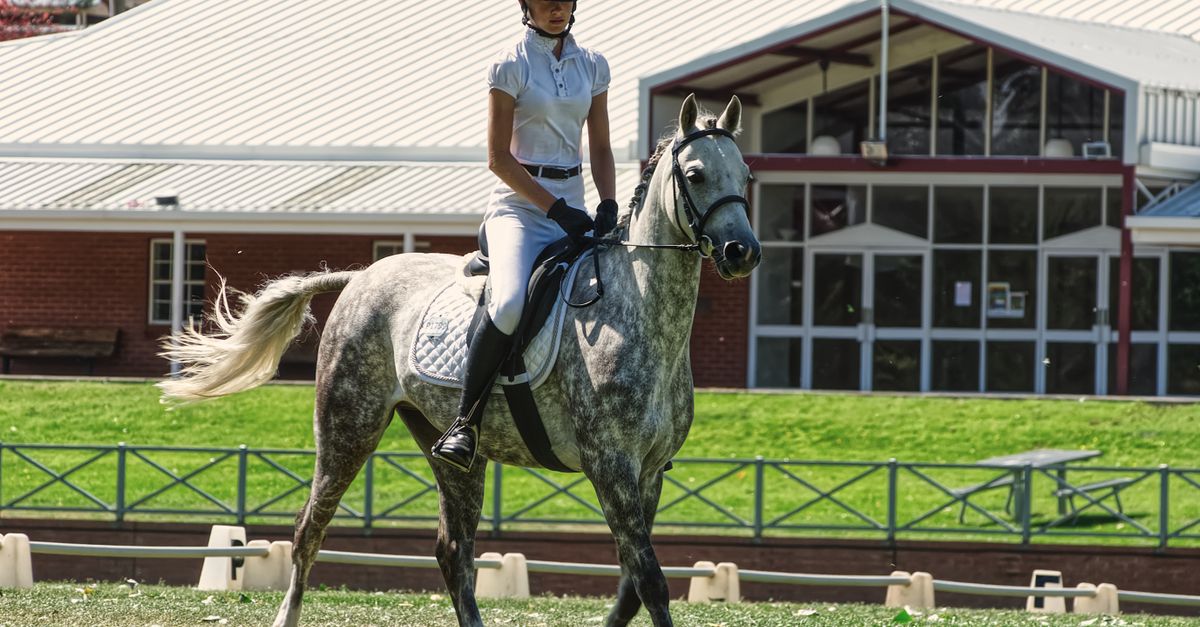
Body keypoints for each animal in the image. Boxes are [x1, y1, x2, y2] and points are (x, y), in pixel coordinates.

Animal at [158, 94, 761, 627]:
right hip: (347, 428)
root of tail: (361, 276)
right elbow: (650, 581)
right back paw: (287, 614)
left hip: (448, 447)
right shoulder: (610, 466)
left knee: (454, 549)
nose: (743, 253)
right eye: (696, 174)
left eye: (747, 176)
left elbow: (634, 588)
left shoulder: (649, 472)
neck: (638, 314)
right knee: (311, 528)